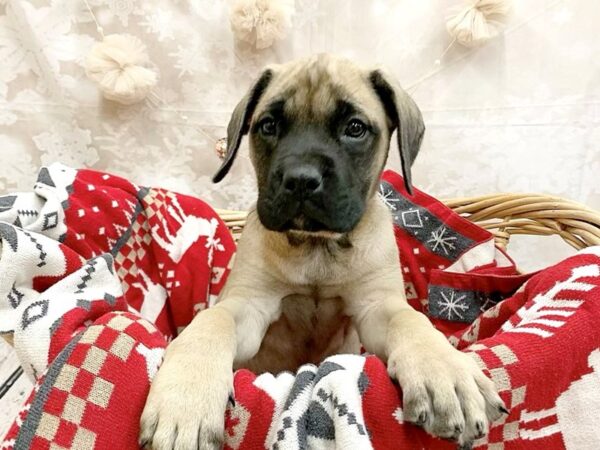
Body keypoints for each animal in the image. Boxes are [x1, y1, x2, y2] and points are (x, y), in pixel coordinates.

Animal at [142, 55, 506, 450]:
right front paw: (185, 399)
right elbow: (212, 321)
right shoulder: (249, 305)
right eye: (268, 125)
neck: (317, 248)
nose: (300, 179)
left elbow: (411, 320)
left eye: (355, 128)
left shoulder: (377, 307)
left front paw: (446, 370)